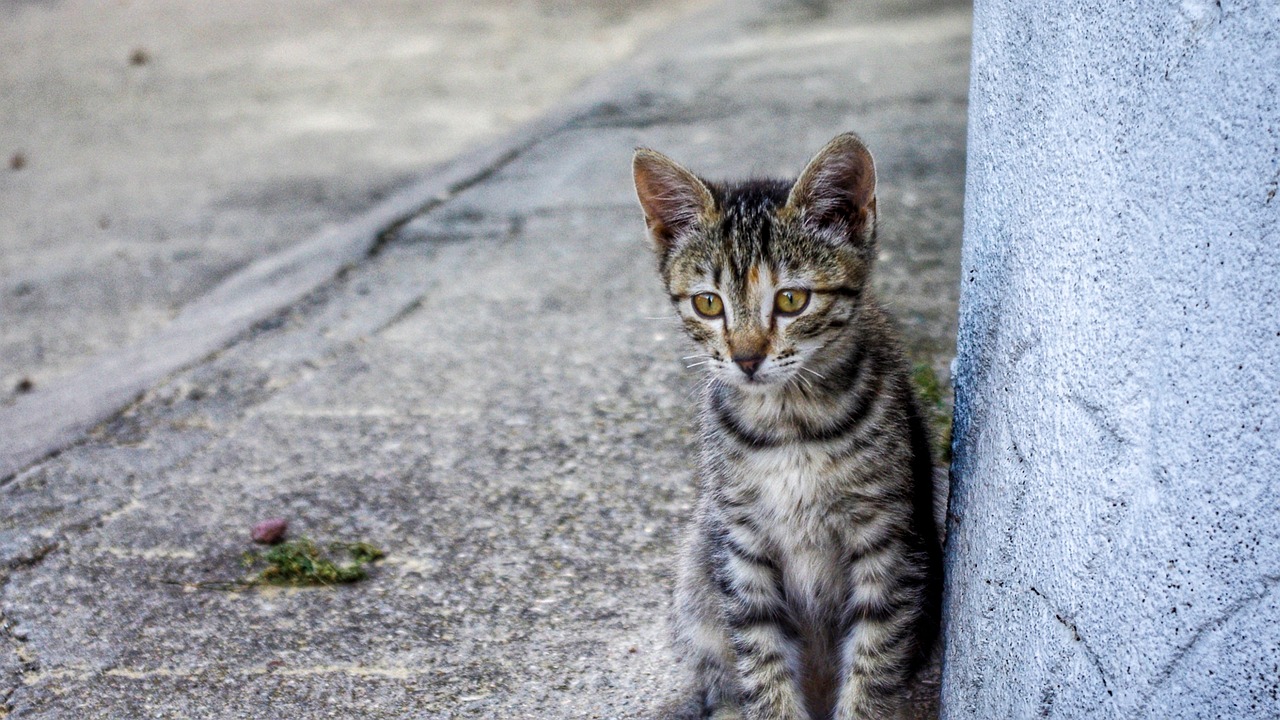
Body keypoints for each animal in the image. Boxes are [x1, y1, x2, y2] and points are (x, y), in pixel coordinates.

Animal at [634, 134, 947, 717]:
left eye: (791, 299)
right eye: (708, 304)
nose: (746, 359)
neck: (789, 426)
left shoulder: (887, 539)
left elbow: (874, 657)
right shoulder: (741, 544)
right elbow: (762, 657)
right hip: (698, 568)